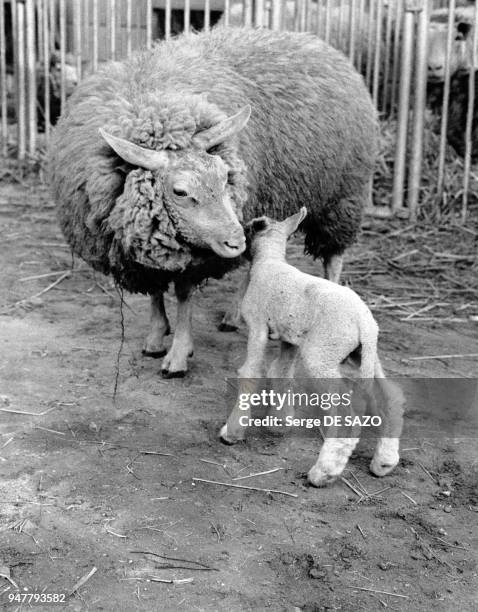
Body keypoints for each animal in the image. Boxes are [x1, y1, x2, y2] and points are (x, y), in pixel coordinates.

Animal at [48, 27, 378, 378]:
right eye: (180, 192)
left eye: (224, 178)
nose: (235, 240)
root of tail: (313, 39)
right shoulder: (146, 249)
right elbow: (156, 289)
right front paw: (156, 336)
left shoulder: (195, 254)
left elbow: (183, 296)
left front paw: (178, 354)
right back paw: (234, 315)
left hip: (343, 197)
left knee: (333, 256)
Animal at [220, 210, 404, 488]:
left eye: (248, 227)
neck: (270, 260)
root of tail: (364, 323)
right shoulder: (290, 337)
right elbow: (280, 372)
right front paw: (280, 422)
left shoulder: (258, 325)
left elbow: (251, 372)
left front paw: (231, 432)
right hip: (363, 355)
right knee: (391, 396)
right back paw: (384, 462)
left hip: (323, 355)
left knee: (347, 416)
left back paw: (324, 473)